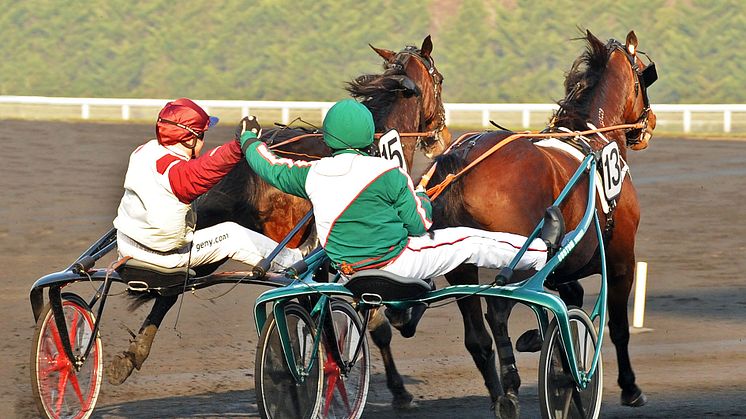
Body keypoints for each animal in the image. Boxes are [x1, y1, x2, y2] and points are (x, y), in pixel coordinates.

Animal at [120, 36, 450, 410]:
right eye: (439, 80)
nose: (440, 136)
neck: (376, 140)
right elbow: (373, 318)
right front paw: (397, 388)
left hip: (218, 228)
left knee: (174, 284)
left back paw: (134, 352)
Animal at [424, 31, 656, 418]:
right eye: (643, 74)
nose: (649, 124)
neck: (594, 140)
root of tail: (462, 159)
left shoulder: (563, 266)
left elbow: (567, 304)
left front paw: (555, 355)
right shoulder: (621, 260)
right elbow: (618, 328)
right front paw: (629, 387)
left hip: (460, 266)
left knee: (477, 335)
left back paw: (498, 393)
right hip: (520, 257)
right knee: (497, 310)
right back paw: (510, 388)